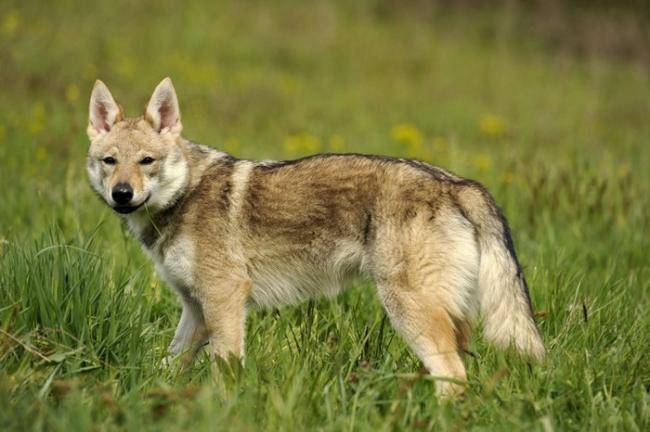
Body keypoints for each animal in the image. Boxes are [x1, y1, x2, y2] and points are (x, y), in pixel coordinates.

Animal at [86, 77, 544, 396]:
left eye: (147, 161)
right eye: (110, 162)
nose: (122, 194)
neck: (185, 195)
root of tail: (459, 183)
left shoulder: (225, 299)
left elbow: (225, 371)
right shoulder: (196, 311)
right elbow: (167, 365)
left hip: (408, 311)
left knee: (454, 376)